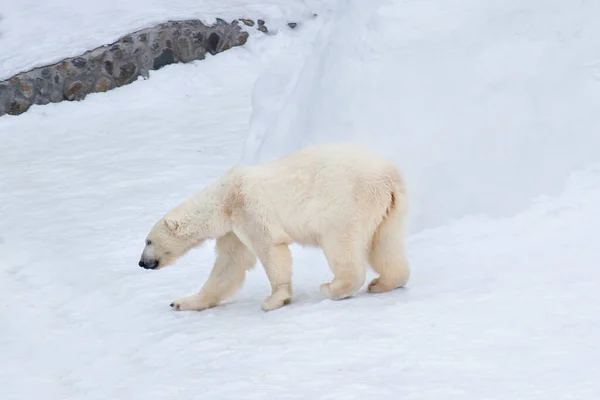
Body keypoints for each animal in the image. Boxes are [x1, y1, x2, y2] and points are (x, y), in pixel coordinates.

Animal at [138, 143, 410, 312]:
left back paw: (333, 287)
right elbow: (230, 265)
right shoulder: (233, 230)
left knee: (341, 244)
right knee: (385, 245)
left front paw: (274, 300)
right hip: (389, 209)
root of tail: (389, 175)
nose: (142, 263)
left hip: (345, 202)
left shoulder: (248, 209)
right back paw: (382, 283)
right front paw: (182, 302)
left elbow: (270, 247)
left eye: (148, 241)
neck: (223, 200)